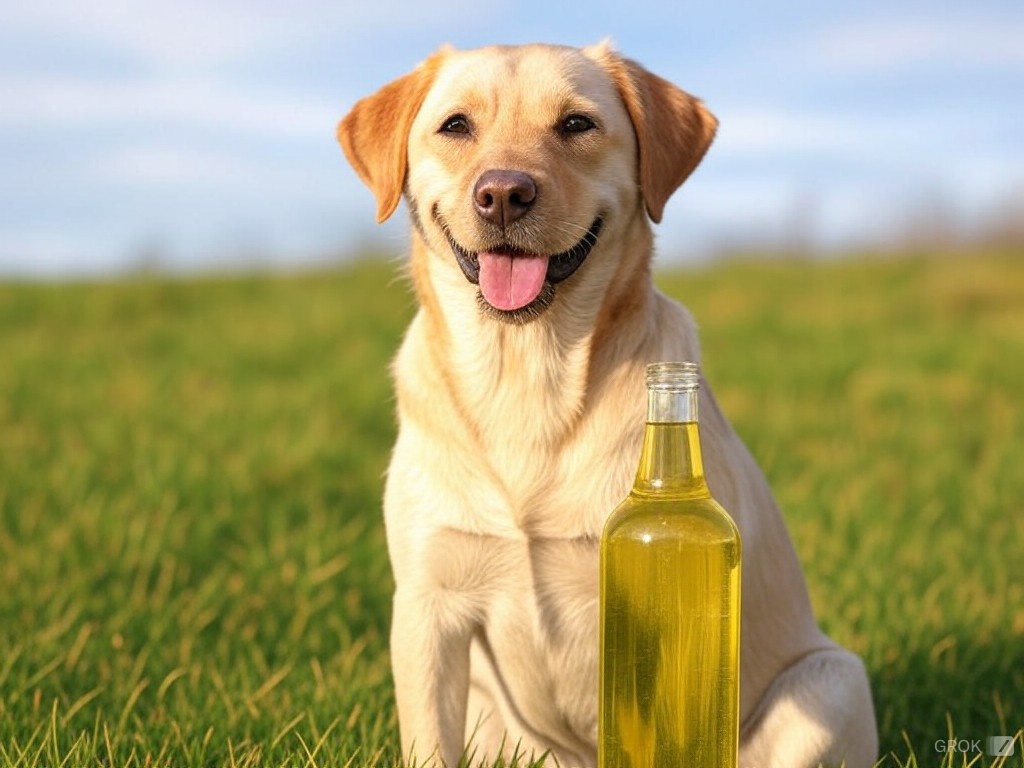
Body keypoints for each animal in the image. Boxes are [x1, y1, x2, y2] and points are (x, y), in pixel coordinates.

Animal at [337, 41, 880, 768]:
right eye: (456, 126)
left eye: (576, 124)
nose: (503, 194)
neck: (525, 378)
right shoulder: (428, 610)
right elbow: (427, 742)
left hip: (829, 678)